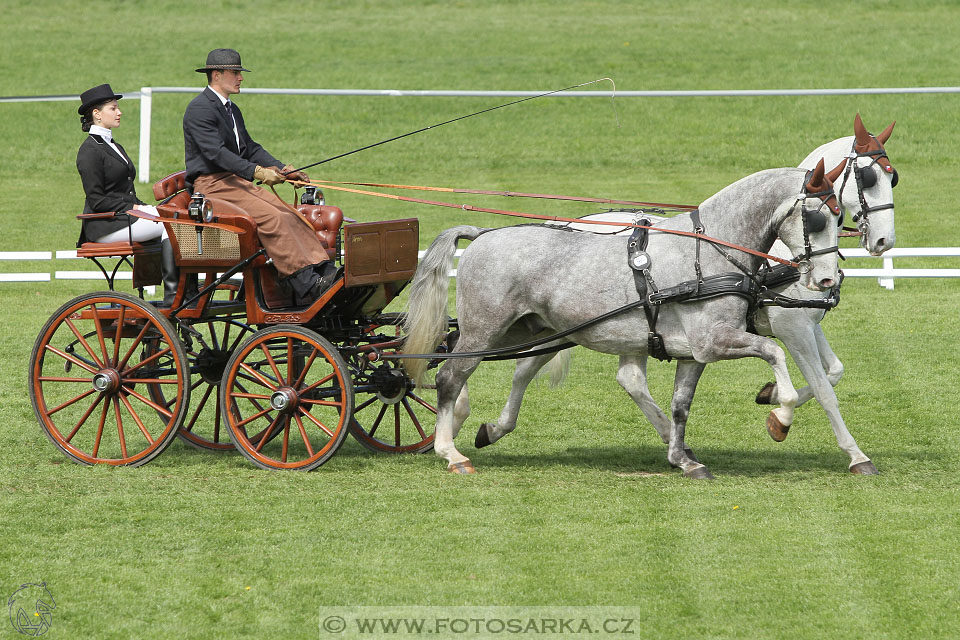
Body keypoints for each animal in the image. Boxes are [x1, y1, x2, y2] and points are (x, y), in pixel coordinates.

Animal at [404, 162, 840, 478]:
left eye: (841, 218)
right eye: (817, 219)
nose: (828, 280)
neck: (710, 250)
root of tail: (482, 235)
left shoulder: (694, 354)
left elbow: (681, 405)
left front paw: (683, 459)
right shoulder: (715, 341)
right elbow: (774, 353)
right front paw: (780, 416)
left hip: (523, 330)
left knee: (471, 363)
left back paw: (470, 429)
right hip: (487, 328)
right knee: (450, 375)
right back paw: (450, 451)